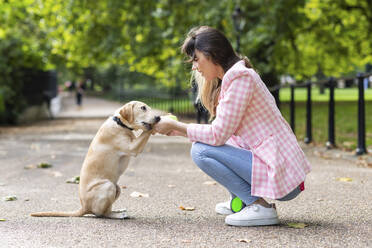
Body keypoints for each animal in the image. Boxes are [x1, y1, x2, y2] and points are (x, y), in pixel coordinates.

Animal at [30, 101, 160, 219]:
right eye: (143, 108)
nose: (158, 117)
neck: (119, 123)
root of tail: (84, 207)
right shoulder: (133, 148)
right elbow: (145, 132)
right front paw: (154, 127)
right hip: (108, 186)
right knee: (102, 214)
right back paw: (118, 215)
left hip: (116, 187)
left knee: (106, 210)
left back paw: (117, 210)